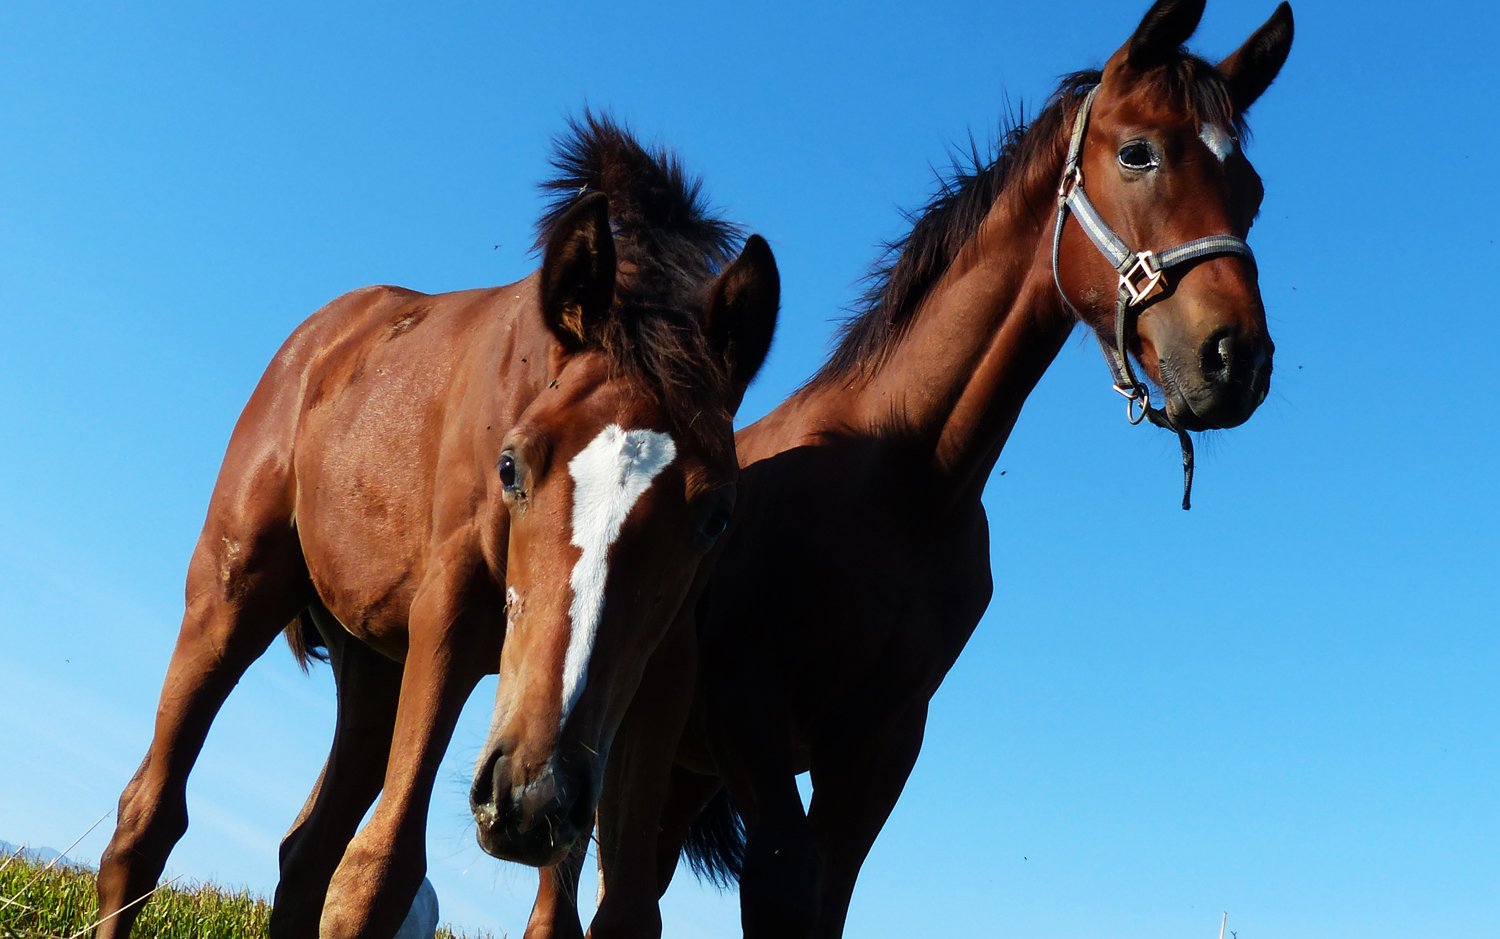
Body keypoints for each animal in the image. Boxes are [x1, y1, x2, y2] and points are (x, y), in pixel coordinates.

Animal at [92, 114, 781, 939]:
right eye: (511, 465)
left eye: (716, 515)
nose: (533, 794)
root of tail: (322, 335)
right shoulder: (449, 616)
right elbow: (378, 874)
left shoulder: (661, 677)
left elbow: (621, 915)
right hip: (233, 592)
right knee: (149, 817)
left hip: (374, 666)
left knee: (306, 854)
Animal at [524, 2, 1295, 937]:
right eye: (1139, 153)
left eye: (1252, 190)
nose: (1236, 358)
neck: (903, 478)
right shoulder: (752, 712)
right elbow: (782, 889)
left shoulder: (880, 745)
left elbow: (824, 900)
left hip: (673, 775)